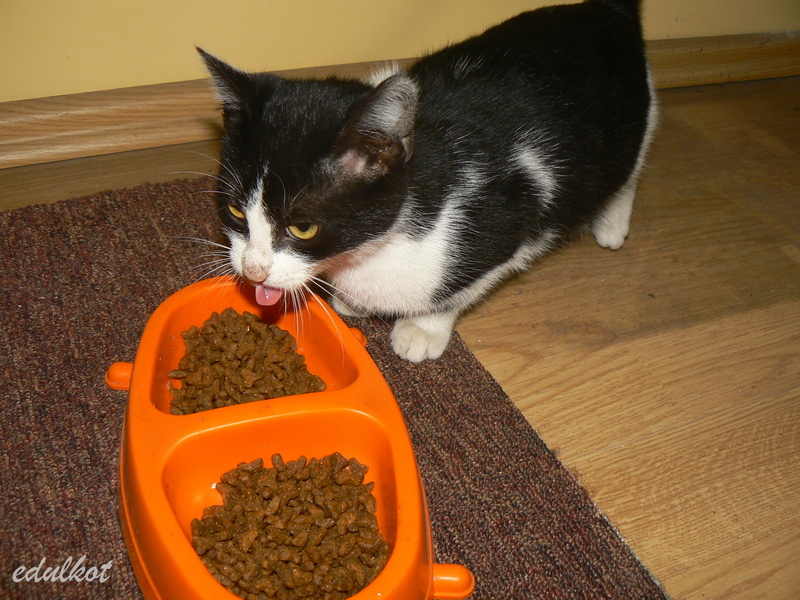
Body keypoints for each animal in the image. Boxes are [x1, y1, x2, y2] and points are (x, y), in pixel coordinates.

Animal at [198, 0, 657, 362]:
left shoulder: (510, 218)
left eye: (303, 227)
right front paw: (352, 300)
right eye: (235, 209)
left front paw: (423, 327)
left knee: (631, 164)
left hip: (635, 118)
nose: (253, 271)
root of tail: (603, 10)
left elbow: (464, 282)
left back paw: (612, 223)